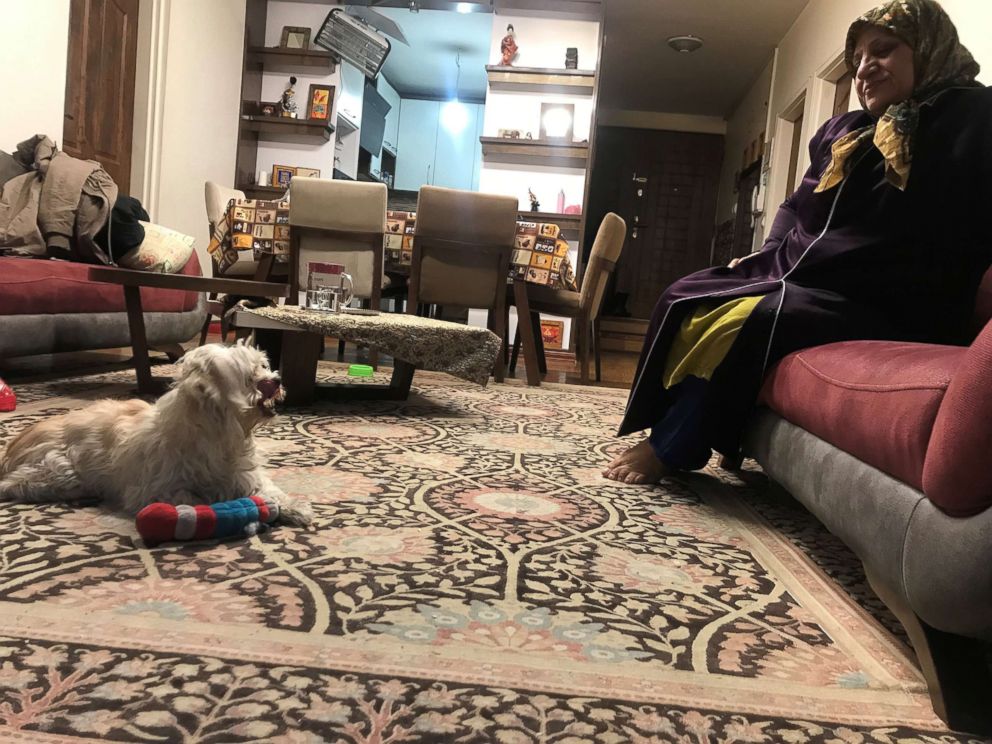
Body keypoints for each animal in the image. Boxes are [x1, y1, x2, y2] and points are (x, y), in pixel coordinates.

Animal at [0, 340, 314, 528]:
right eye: (252, 378)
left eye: (263, 365)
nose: (277, 380)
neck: (219, 432)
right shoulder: (155, 490)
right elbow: (197, 498)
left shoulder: (243, 472)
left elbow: (267, 489)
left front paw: (293, 507)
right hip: (59, 472)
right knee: (14, 484)